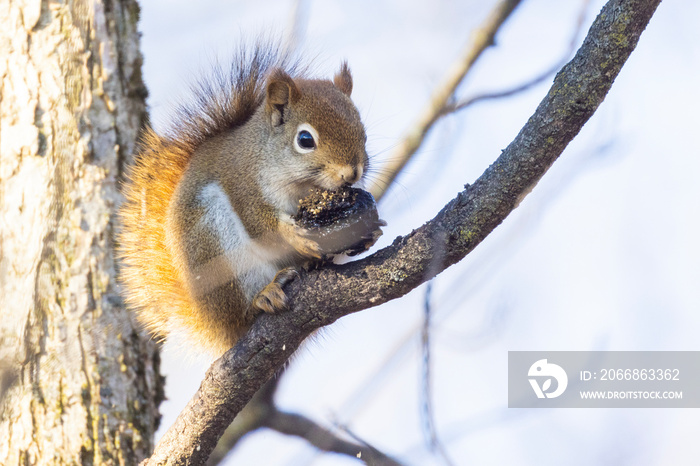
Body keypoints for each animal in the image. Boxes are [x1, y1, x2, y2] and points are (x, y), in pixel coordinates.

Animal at [120, 45, 382, 354]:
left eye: (363, 132)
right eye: (305, 140)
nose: (352, 173)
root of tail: (213, 324)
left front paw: (370, 233)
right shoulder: (242, 184)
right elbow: (261, 226)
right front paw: (296, 236)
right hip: (216, 245)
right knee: (243, 312)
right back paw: (263, 296)